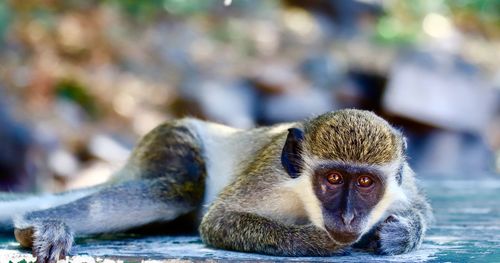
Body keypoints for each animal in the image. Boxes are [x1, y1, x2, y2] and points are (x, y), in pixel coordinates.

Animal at [0, 110, 430, 263]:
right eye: (334, 179)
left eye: (366, 182)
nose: (348, 216)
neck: (304, 199)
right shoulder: (270, 180)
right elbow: (219, 221)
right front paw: (317, 242)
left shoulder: (404, 185)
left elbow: (422, 211)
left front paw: (396, 235)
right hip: (170, 140)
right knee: (179, 190)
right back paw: (36, 222)